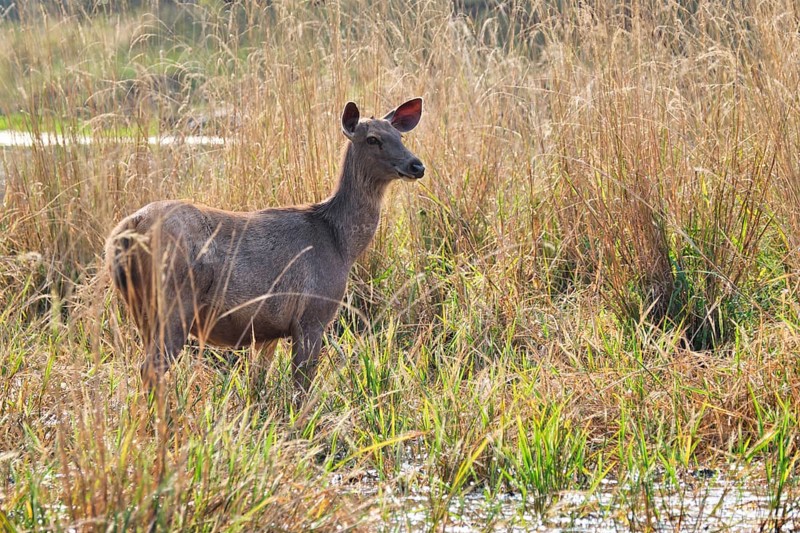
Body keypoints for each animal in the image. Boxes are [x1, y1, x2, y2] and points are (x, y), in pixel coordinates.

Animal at [105, 98, 424, 392]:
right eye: (372, 139)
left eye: (400, 137)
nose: (417, 165)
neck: (341, 245)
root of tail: (126, 230)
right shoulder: (313, 314)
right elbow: (301, 388)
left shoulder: (267, 332)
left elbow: (257, 386)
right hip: (173, 301)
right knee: (151, 369)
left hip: (139, 307)